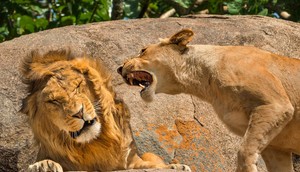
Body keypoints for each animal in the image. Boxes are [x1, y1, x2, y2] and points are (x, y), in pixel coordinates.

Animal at [21, 49, 191, 171]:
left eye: (77, 86)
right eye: (53, 101)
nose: (79, 113)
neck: (95, 143)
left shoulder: (131, 160)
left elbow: (152, 165)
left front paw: (175, 166)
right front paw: (43, 165)